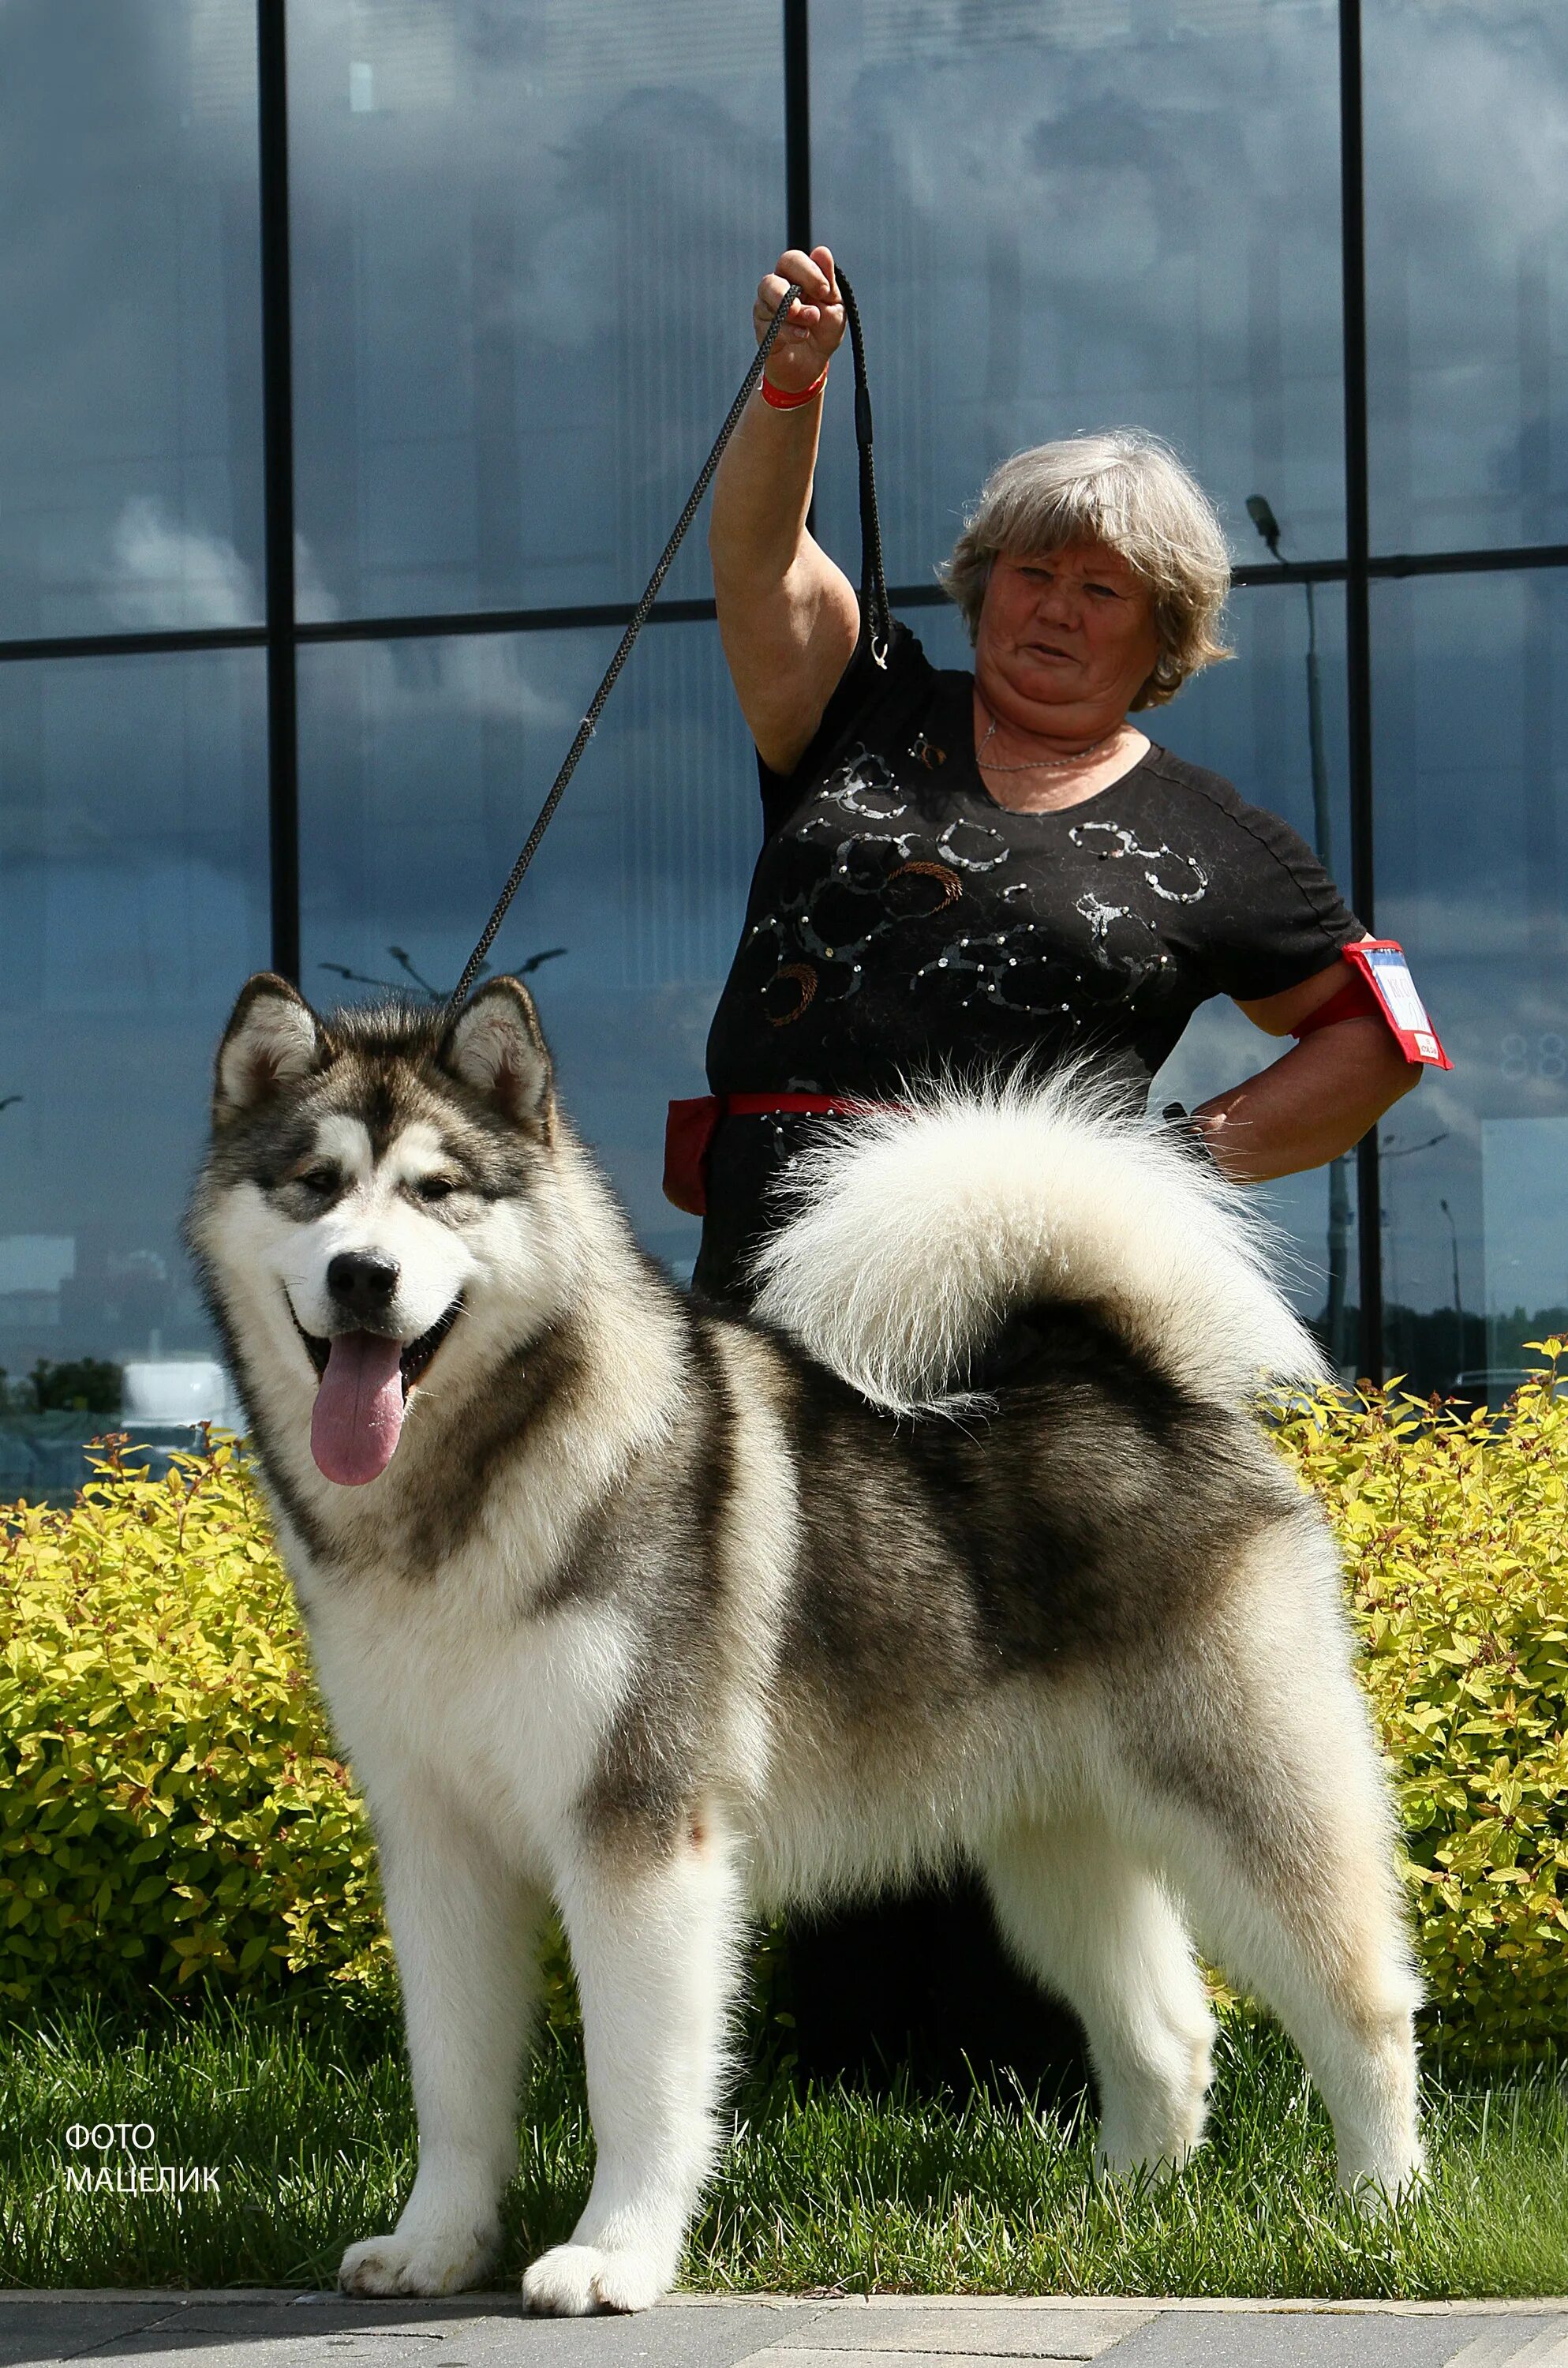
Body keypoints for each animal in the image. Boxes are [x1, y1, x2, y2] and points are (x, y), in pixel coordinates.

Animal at [185, 976, 1420, 2311]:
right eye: (314, 1184)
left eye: (436, 1190)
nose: (363, 1277)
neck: (461, 1494)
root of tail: (1128, 1376)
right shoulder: (436, 1842)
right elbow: (451, 2085)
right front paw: (436, 2246)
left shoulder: (639, 1833)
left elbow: (637, 2084)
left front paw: (614, 2257)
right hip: (1051, 1842)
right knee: (1165, 2030)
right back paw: (1119, 2215)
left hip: (1243, 1790)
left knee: (1362, 2002)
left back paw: (1376, 2210)